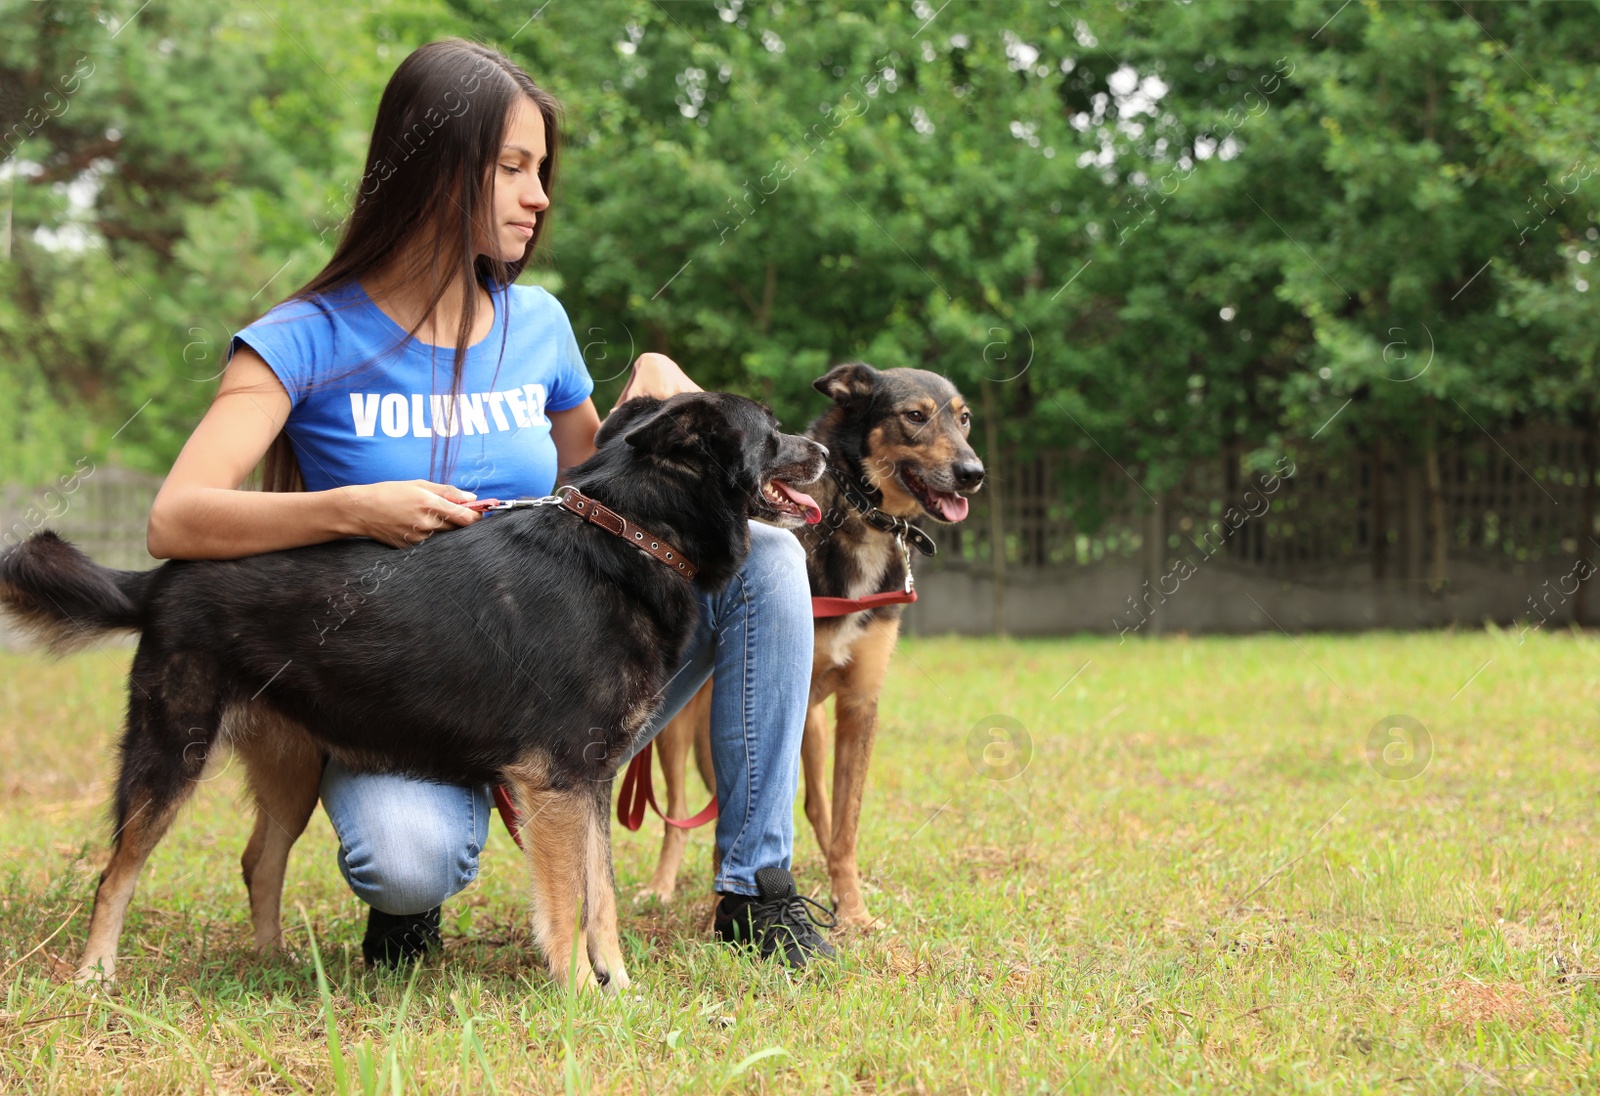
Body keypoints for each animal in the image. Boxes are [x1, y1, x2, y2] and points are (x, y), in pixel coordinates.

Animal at [643, 361, 979, 921]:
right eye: (915, 416)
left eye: (965, 419)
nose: (974, 473)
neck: (860, 519)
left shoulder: (859, 703)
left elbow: (844, 822)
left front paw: (854, 907)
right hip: (678, 725)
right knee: (678, 812)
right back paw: (662, 884)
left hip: (812, 727)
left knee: (815, 806)